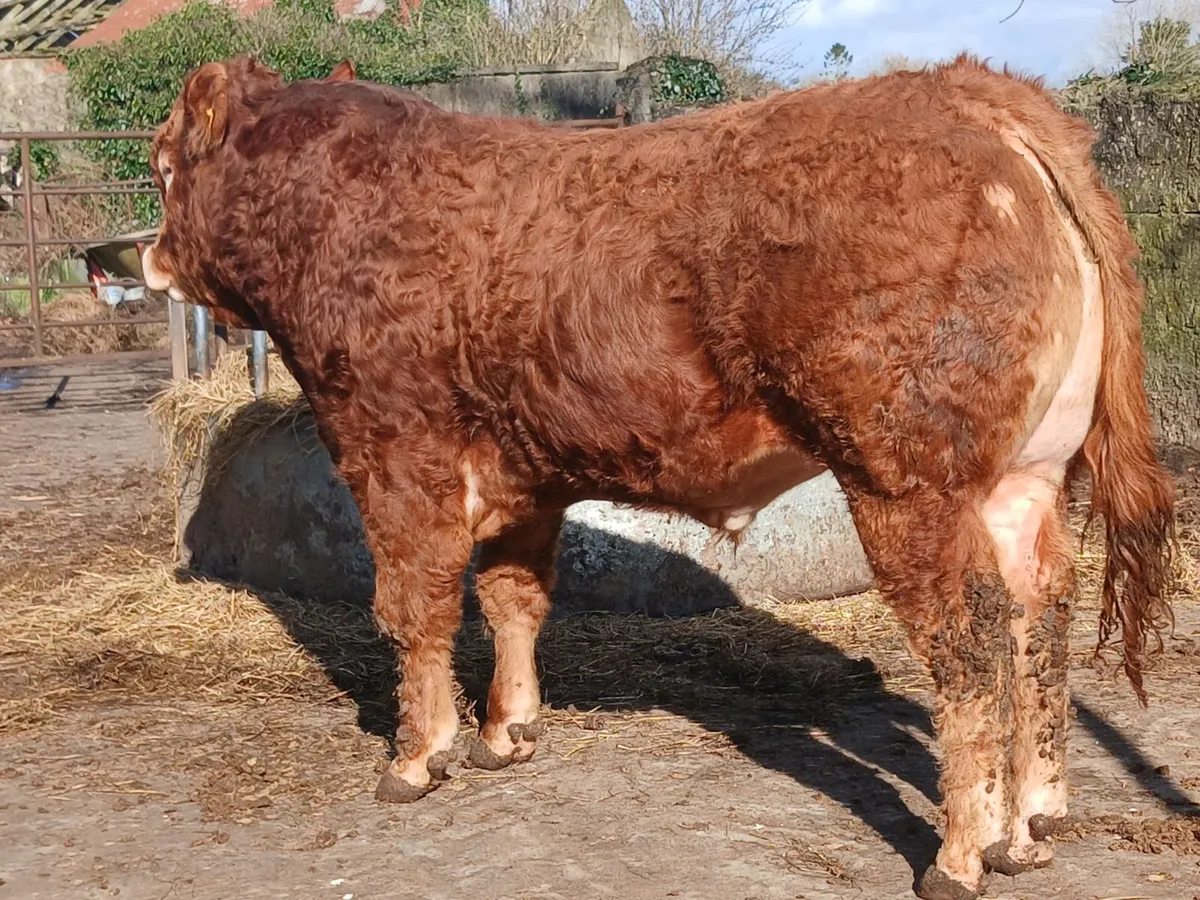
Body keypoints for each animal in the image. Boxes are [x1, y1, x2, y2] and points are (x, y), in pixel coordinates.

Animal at [142, 55, 1175, 900]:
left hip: (907, 483)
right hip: (1026, 480)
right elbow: (514, 598)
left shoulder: (393, 446)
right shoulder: (524, 476)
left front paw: (415, 758)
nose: (143, 254)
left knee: (969, 645)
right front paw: (504, 734)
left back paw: (960, 857)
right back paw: (1030, 827)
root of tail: (975, 95)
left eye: (160, 166)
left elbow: (414, 608)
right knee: (1040, 612)